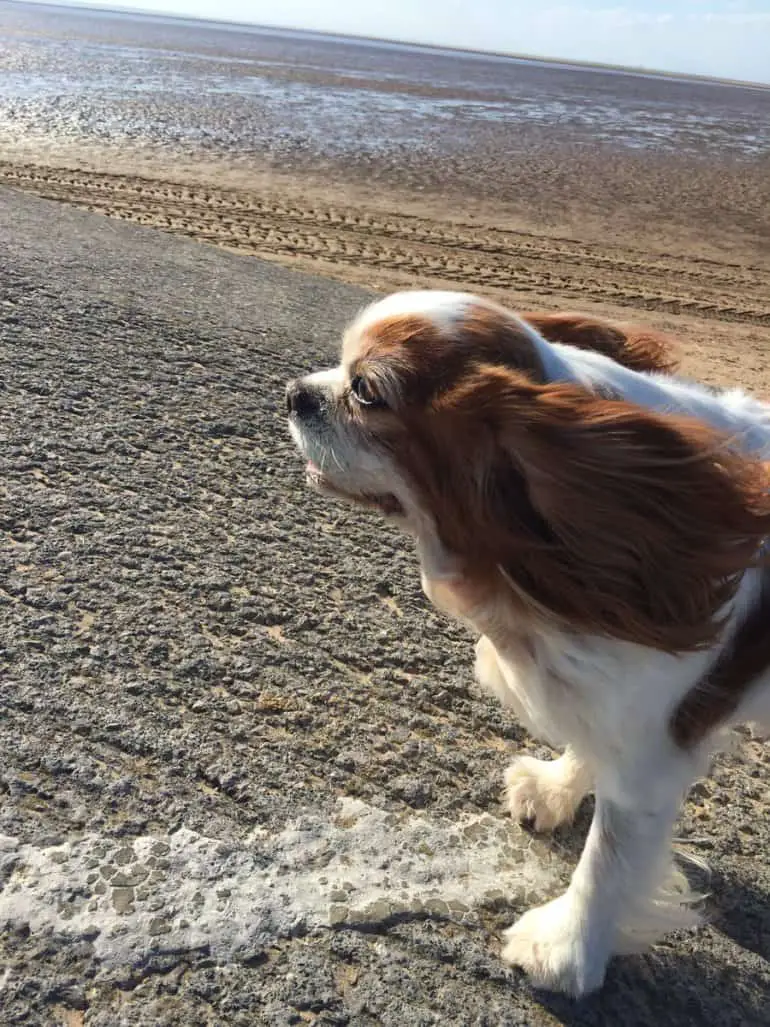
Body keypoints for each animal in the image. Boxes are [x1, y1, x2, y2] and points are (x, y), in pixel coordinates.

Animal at [285, 289, 770, 994]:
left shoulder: (656, 750)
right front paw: (556, 790)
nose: (295, 393)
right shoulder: (611, 700)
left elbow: (609, 859)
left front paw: (565, 948)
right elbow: (589, 749)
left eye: (366, 390)